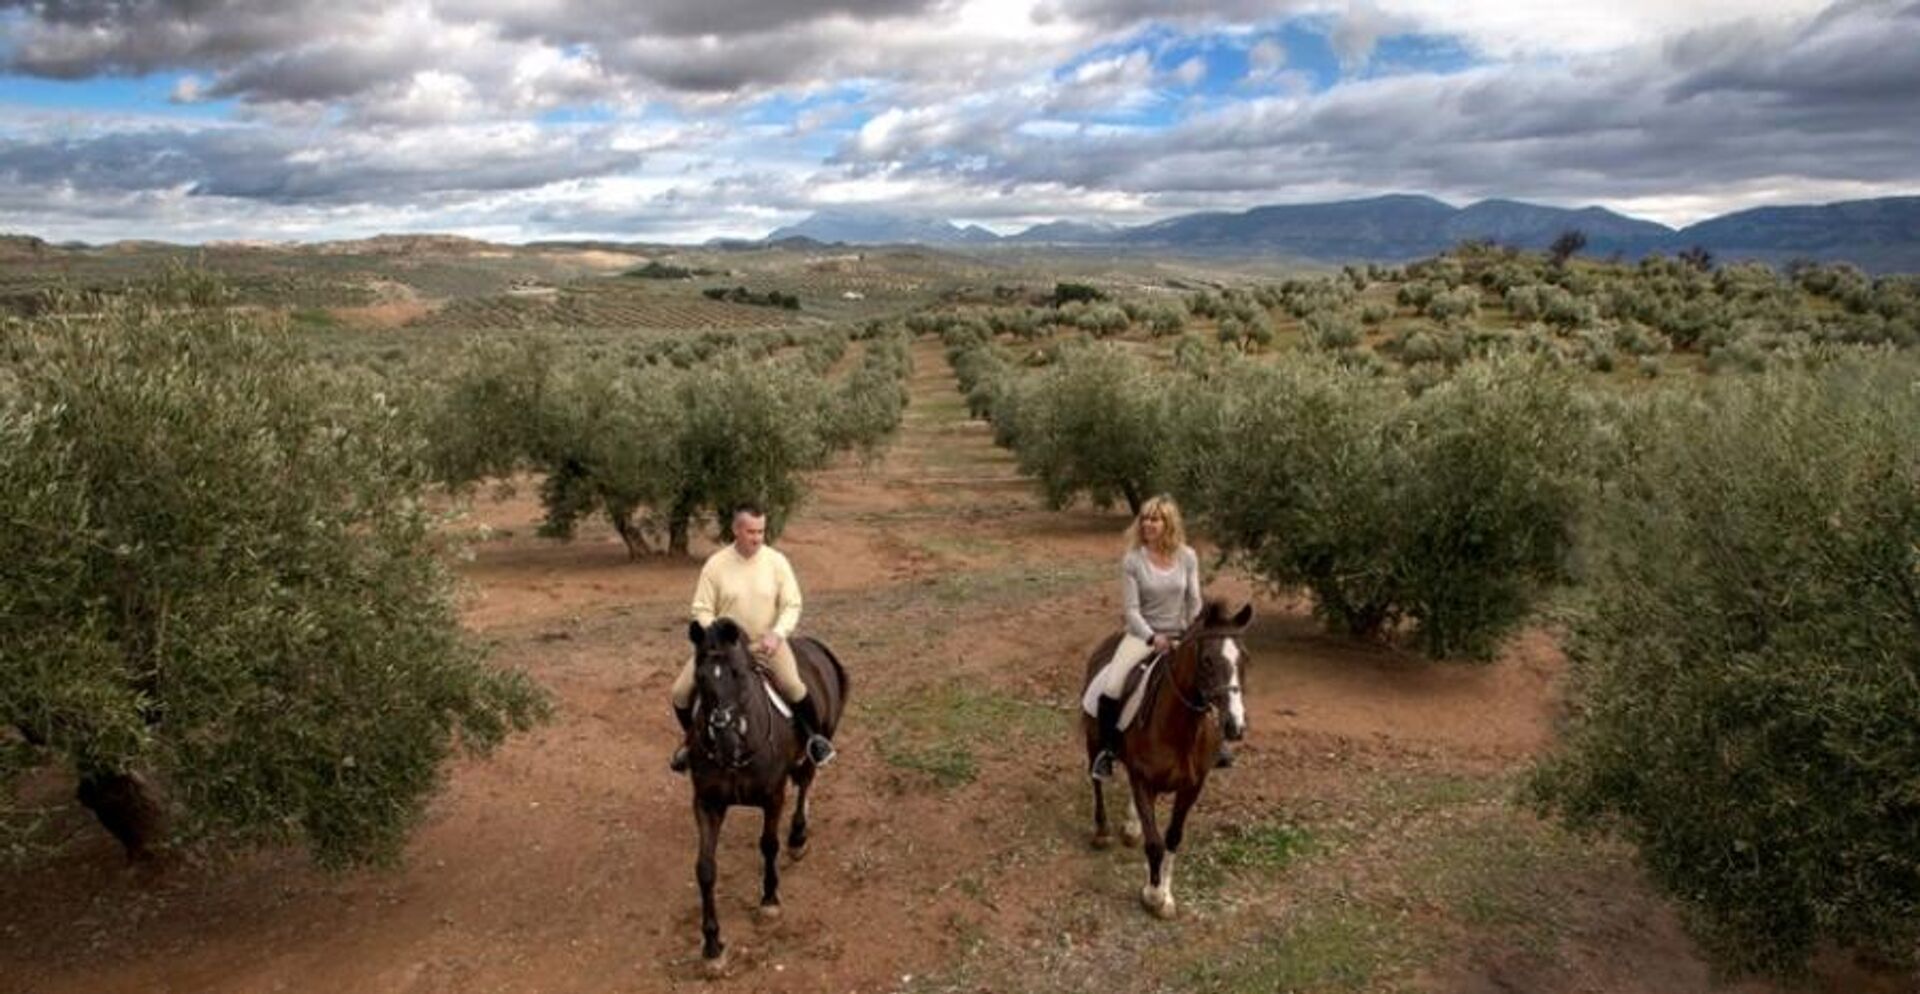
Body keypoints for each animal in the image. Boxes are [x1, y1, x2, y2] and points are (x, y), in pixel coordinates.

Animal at [683, 617, 848, 978]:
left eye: (739, 674)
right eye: (700, 677)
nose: (725, 736)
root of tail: (814, 645)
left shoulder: (773, 796)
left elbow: (768, 845)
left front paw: (769, 901)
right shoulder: (706, 804)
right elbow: (705, 868)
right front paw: (712, 946)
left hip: (814, 744)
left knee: (806, 783)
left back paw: (798, 838)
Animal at [1075, 598, 1251, 921]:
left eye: (1244, 659)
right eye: (1207, 660)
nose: (1235, 726)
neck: (1180, 730)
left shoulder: (1191, 787)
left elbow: (1172, 838)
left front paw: (1166, 895)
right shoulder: (1143, 780)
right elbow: (1155, 843)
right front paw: (1153, 895)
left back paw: (1131, 827)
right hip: (1093, 741)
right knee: (1096, 782)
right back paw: (1103, 832)